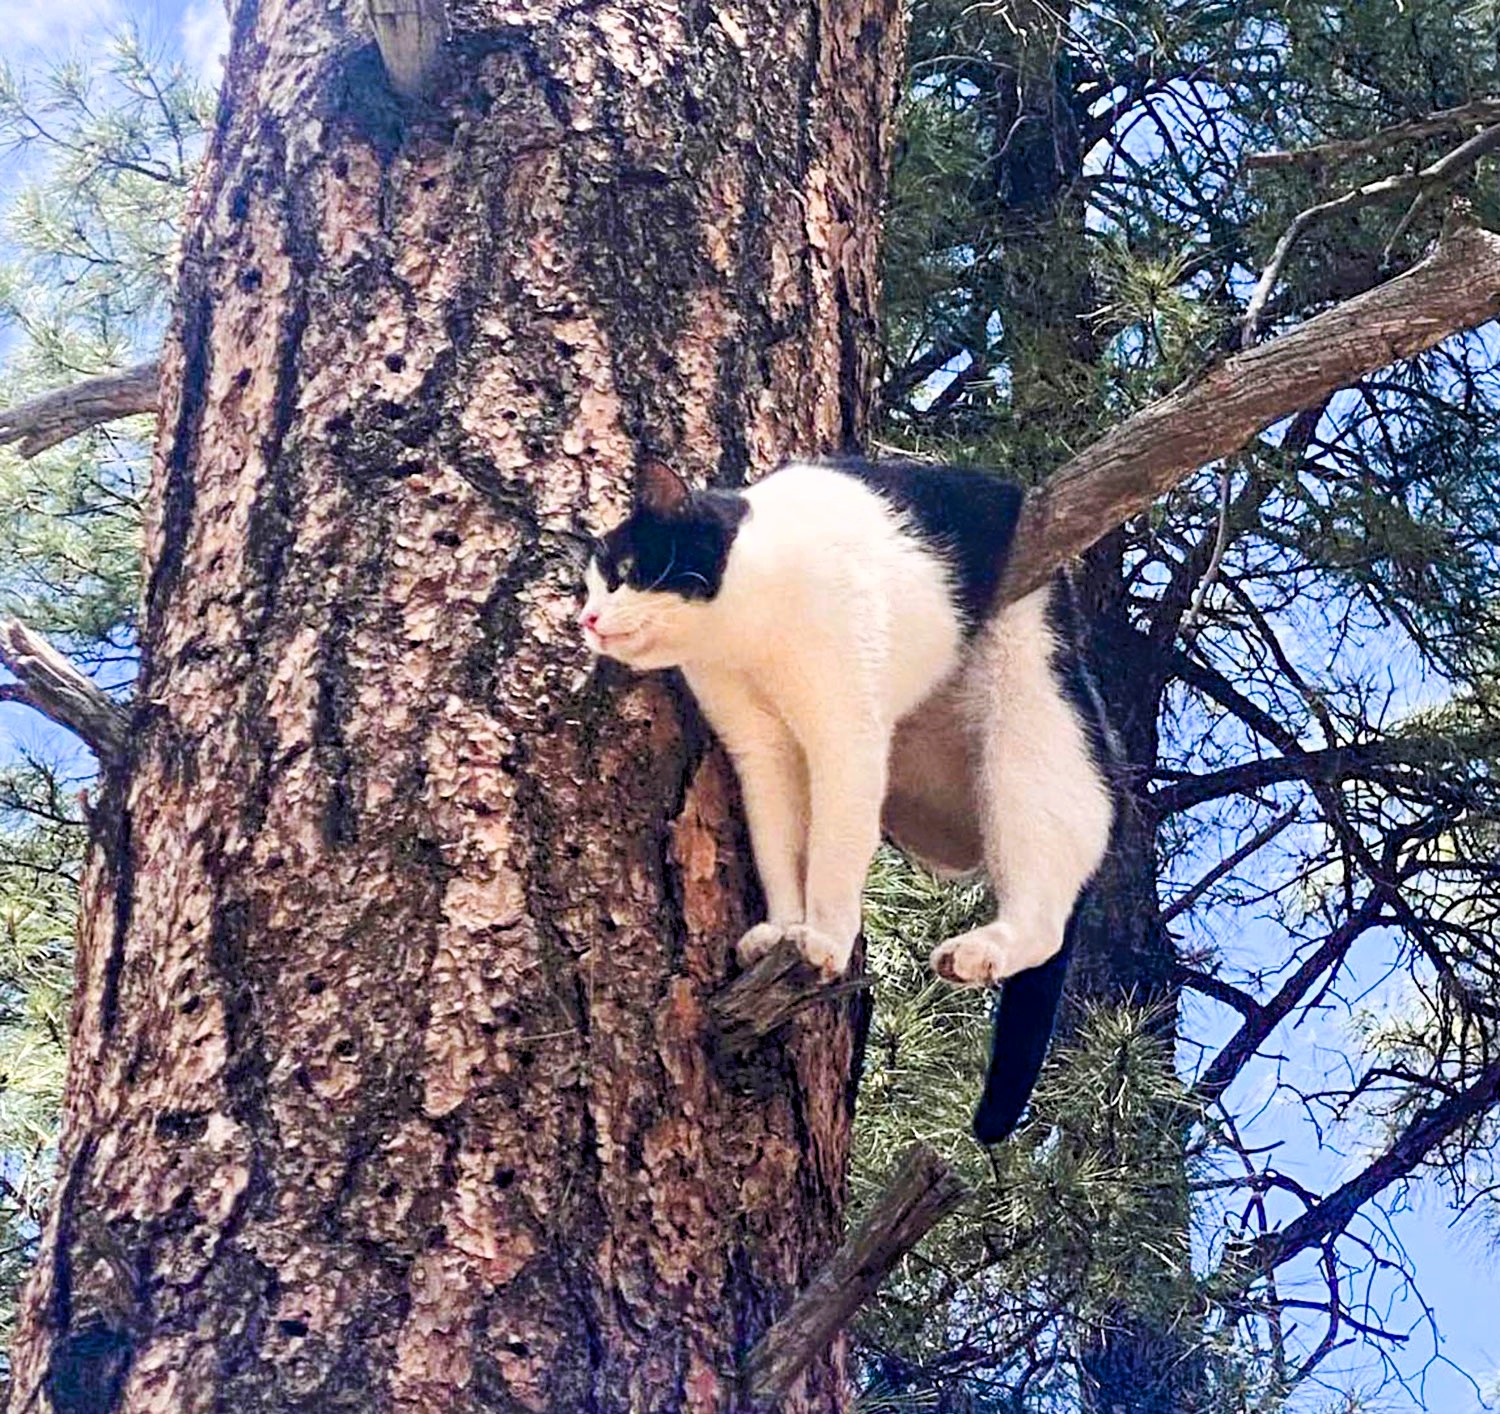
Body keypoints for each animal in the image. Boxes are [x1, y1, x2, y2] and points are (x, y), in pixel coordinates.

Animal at [576, 458, 1116, 1145]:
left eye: (624, 572)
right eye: (588, 587)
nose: (588, 622)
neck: (745, 632)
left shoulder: (847, 738)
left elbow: (833, 857)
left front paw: (825, 938)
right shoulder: (762, 753)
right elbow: (779, 850)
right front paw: (783, 928)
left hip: (1028, 725)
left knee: (1048, 909)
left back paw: (980, 951)